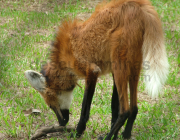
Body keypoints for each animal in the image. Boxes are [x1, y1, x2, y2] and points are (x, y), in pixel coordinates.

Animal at [24, 0, 169, 138]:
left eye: (50, 105)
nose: (61, 123)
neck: (63, 58)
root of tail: (139, 5)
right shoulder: (111, 71)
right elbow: (114, 106)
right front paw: (115, 136)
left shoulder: (92, 71)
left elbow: (85, 108)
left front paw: (78, 132)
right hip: (132, 66)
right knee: (134, 108)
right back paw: (126, 135)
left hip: (120, 64)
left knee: (125, 110)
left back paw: (107, 137)